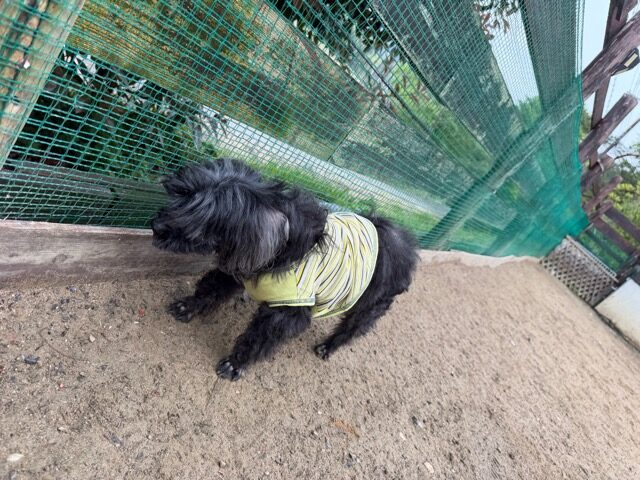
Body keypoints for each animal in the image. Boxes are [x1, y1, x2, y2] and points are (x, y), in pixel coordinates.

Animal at [151, 158, 418, 380]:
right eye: (182, 194)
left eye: (203, 217)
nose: (156, 226)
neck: (284, 246)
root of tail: (407, 246)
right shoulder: (238, 267)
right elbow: (210, 289)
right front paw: (188, 307)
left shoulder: (288, 311)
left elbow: (260, 338)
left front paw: (235, 364)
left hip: (369, 307)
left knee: (352, 329)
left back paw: (328, 346)